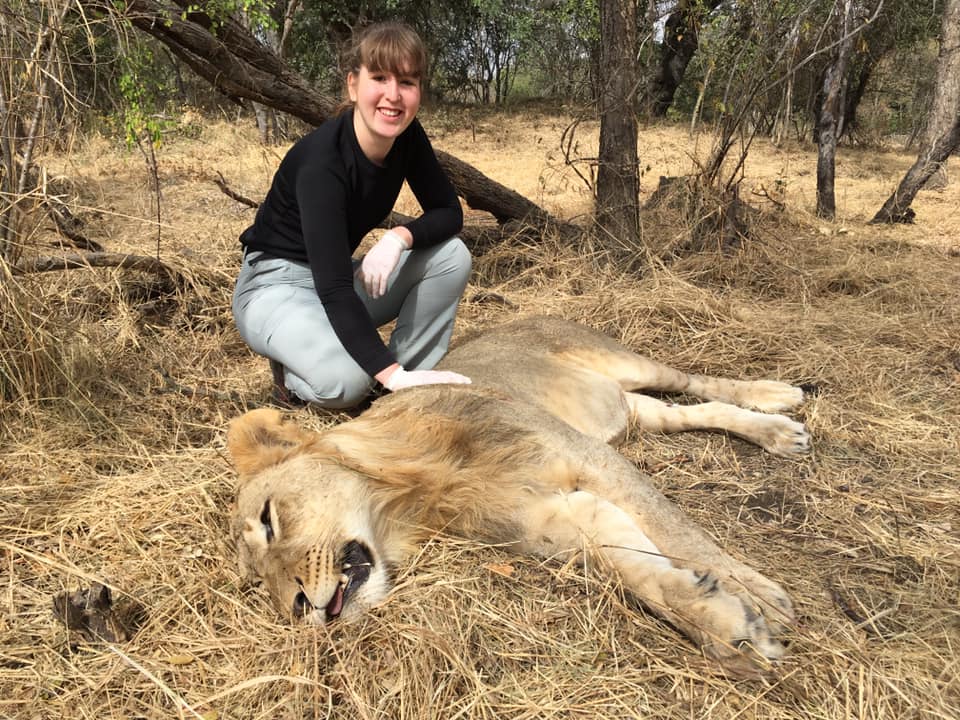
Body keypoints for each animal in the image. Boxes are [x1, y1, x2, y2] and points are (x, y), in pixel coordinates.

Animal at [227, 316, 810, 671]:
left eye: (269, 520)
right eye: (258, 583)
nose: (299, 611)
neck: (420, 499)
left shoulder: (589, 459)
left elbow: (678, 532)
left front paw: (760, 596)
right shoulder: (559, 518)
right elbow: (642, 573)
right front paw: (730, 628)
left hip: (627, 363)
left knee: (696, 382)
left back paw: (779, 400)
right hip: (630, 412)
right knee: (691, 411)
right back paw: (776, 432)